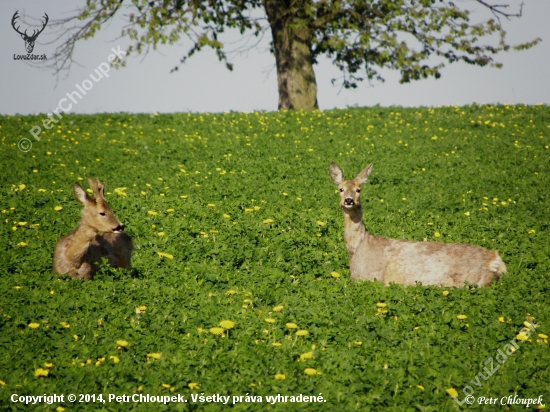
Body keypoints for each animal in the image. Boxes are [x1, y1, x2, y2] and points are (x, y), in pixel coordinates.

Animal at [332, 162, 508, 286]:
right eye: (340, 189)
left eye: (359, 189)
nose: (349, 200)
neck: (358, 247)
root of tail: (495, 259)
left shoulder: (369, 277)